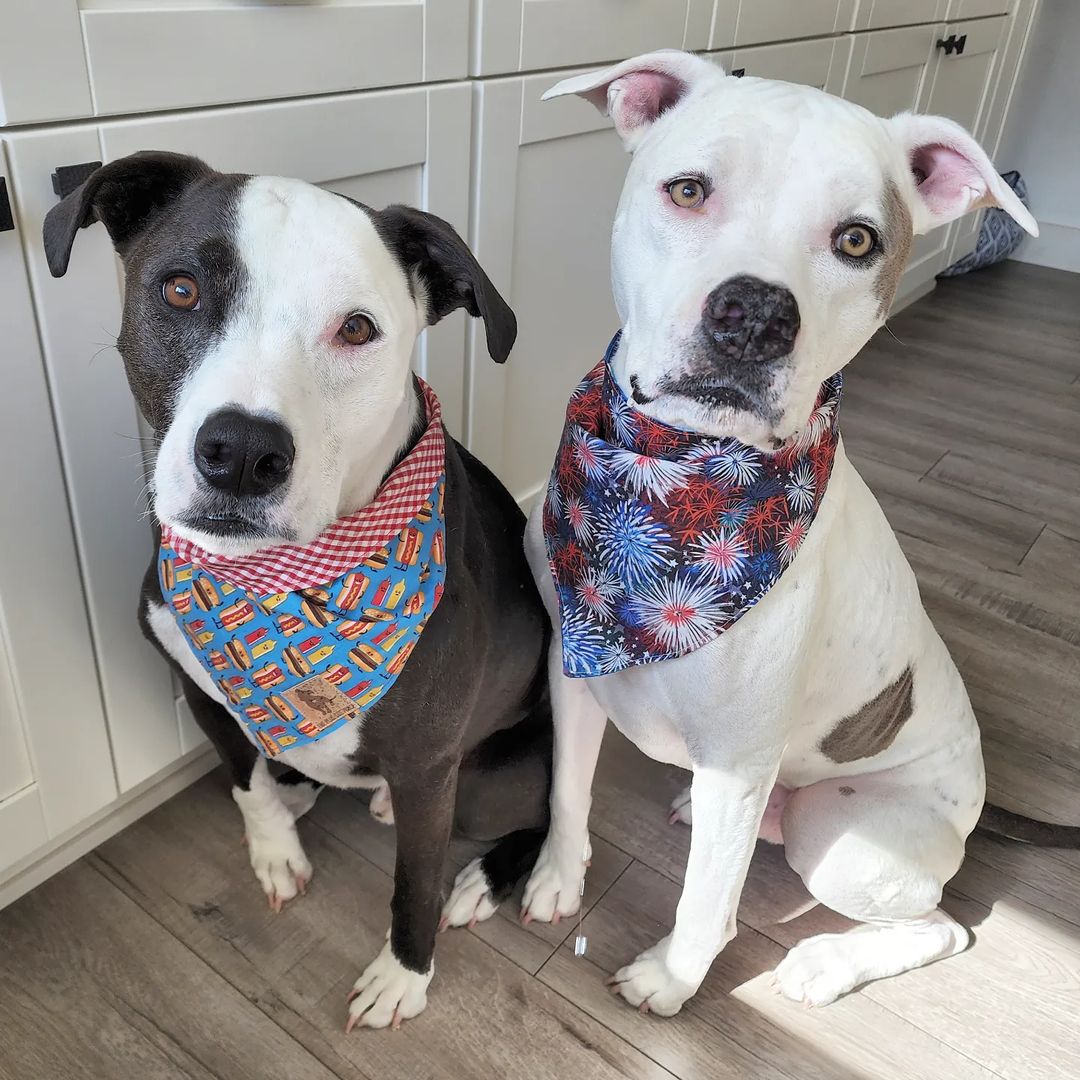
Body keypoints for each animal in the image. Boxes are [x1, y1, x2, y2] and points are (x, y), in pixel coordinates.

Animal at [42, 152, 552, 1028]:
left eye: (357, 328)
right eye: (181, 289)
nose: (243, 452)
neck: (268, 582)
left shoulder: (429, 767)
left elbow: (413, 883)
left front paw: (403, 977)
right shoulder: (195, 686)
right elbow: (242, 781)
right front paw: (275, 849)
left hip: (489, 782)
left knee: (543, 817)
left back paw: (486, 878)